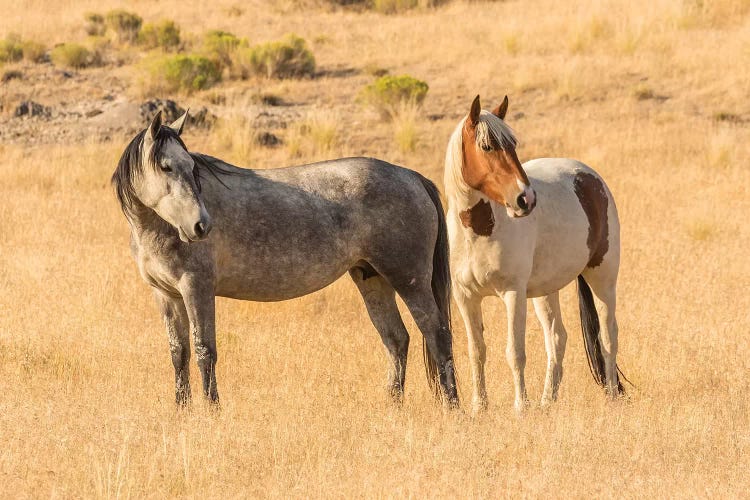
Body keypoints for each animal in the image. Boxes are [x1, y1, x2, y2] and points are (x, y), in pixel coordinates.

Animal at [113, 111, 458, 408]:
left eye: (193, 168)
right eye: (166, 167)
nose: (201, 225)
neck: (158, 228)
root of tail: (411, 176)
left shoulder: (197, 288)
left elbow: (204, 351)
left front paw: (212, 410)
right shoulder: (166, 295)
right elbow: (179, 353)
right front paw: (181, 410)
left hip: (409, 280)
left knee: (437, 334)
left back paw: (452, 407)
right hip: (372, 279)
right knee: (396, 339)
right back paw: (392, 405)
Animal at [450, 95, 624, 412]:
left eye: (513, 144)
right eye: (487, 146)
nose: (526, 199)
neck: (479, 231)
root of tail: (589, 177)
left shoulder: (513, 294)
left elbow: (515, 352)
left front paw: (521, 406)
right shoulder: (465, 297)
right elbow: (476, 351)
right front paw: (479, 407)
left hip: (602, 277)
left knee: (607, 336)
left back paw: (611, 397)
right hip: (546, 291)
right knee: (557, 338)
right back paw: (547, 401)